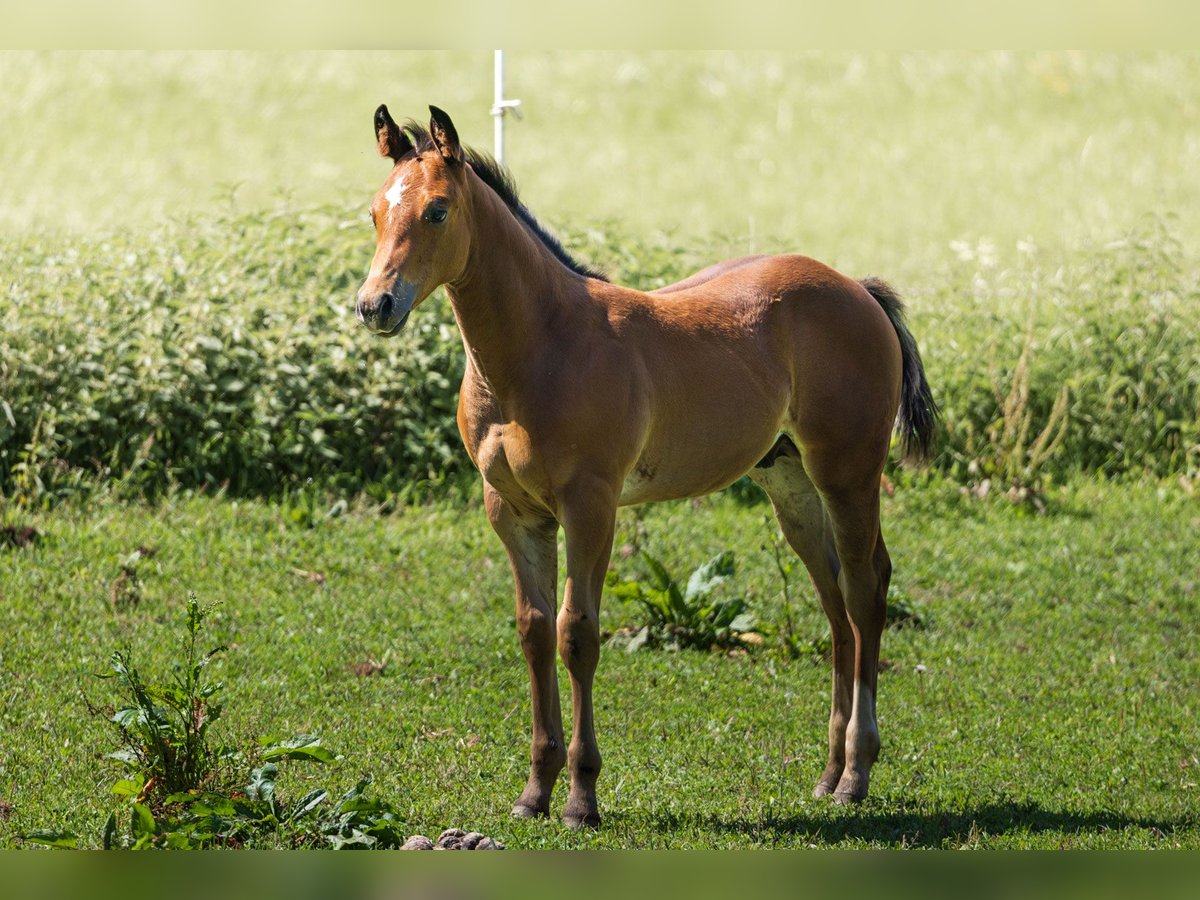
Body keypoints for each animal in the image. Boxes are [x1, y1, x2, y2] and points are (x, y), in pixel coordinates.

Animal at [355, 105, 937, 828]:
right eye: (375, 212)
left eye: (436, 211)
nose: (375, 305)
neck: (540, 349)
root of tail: (857, 288)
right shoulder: (513, 511)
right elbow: (533, 631)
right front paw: (534, 791)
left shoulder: (590, 505)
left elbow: (577, 634)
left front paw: (581, 797)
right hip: (790, 483)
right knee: (833, 601)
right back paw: (828, 776)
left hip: (847, 474)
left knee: (865, 591)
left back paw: (857, 772)